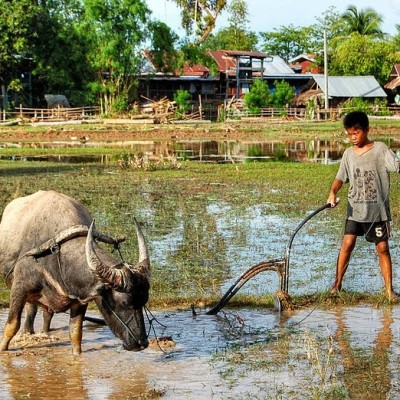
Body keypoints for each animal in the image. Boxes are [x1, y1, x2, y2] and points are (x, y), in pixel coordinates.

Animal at [0, 190, 150, 354]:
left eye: (144, 301)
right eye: (124, 303)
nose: (142, 343)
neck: (56, 255)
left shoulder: (80, 300)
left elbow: (75, 333)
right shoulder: (19, 289)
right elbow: (11, 326)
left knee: (45, 315)